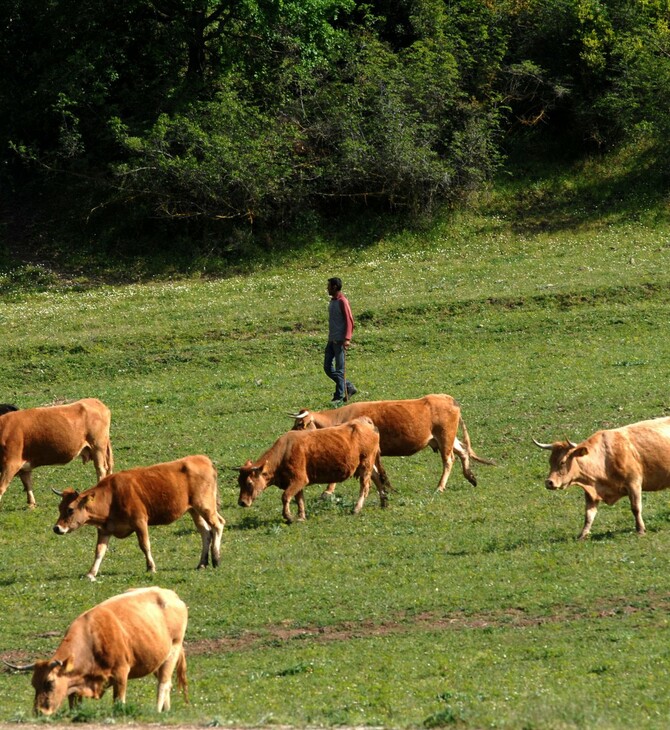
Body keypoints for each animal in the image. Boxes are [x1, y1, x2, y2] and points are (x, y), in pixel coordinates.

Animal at [5, 584, 189, 712]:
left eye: (49, 683)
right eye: (33, 684)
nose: (39, 712)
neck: (92, 639)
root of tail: (172, 595)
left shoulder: (121, 673)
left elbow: (119, 702)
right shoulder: (76, 684)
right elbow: (74, 703)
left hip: (173, 650)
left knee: (163, 684)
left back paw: (157, 711)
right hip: (157, 659)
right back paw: (166, 711)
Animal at [51, 456, 226, 580]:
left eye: (70, 509)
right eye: (60, 508)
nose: (57, 528)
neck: (111, 497)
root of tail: (204, 459)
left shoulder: (140, 522)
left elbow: (145, 545)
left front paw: (151, 567)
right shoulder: (105, 530)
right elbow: (99, 551)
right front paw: (91, 573)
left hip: (205, 506)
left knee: (218, 525)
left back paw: (216, 559)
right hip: (194, 510)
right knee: (205, 532)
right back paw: (202, 563)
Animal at [239, 412, 392, 520]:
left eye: (249, 483)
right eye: (239, 482)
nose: (241, 502)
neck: (284, 452)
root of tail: (364, 421)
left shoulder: (299, 479)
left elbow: (286, 496)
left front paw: (288, 517)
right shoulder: (296, 483)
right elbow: (299, 499)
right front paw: (301, 517)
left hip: (366, 463)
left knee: (365, 486)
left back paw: (356, 508)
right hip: (367, 464)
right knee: (377, 478)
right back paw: (383, 502)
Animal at [290, 392, 494, 494]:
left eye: (300, 424)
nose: (290, 438)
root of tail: (448, 398)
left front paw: (327, 492)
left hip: (445, 438)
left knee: (449, 460)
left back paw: (440, 487)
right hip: (446, 438)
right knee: (463, 452)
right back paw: (470, 477)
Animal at [536, 412, 670, 536]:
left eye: (562, 462)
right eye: (550, 461)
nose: (549, 482)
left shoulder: (634, 483)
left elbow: (636, 508)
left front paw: (640, 530)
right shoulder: (590, 492)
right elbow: (588, 515)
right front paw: (582, 535)